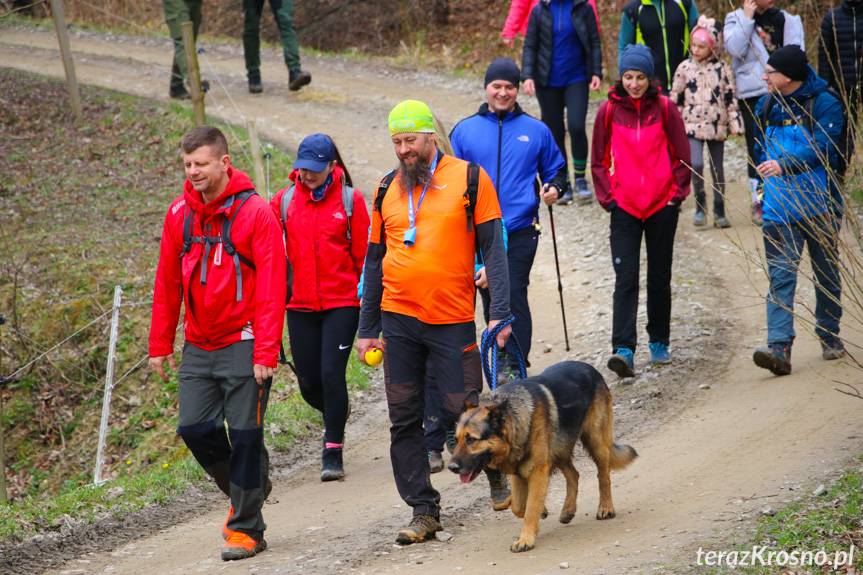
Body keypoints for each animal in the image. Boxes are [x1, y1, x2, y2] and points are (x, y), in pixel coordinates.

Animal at [448, 360, 636, 552]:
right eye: (455, 440)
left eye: (471, 440)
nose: (451, 467)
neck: (515, 421)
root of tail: (588, 367)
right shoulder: (517, 472)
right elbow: (518, 505)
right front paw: (541, 511)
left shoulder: (538, 472)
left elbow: (531, 508)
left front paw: (526, 539)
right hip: (559, 449)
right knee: (574, 475)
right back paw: (568, 510)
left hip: (595, 441)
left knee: (603, 474)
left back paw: (606, 507)